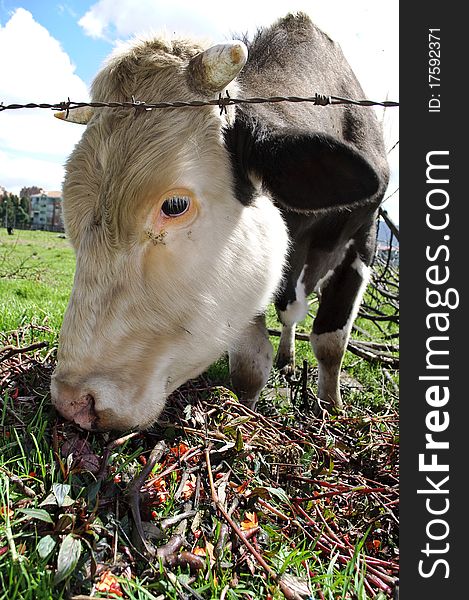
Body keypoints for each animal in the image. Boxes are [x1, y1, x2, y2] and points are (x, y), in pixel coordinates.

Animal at [50, 14, 388, 432]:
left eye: (175, 205)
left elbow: (330, 341)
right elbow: (250, 363)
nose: (73, 400)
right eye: (71, 213)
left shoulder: (365, 235)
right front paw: (245, 412)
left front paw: (331, 411)